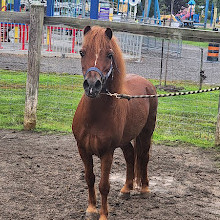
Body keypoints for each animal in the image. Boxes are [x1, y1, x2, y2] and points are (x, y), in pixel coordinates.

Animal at [72, 26, 158, 220]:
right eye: (82, 52)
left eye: (110, 54)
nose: (92, 85)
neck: (94, 117)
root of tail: (146, 83)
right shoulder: (83, 149)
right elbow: (90, 178)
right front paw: (91, 209)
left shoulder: (107, 152)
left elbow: (104, 185)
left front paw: (103, 215)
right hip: (125, 140)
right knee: (130, 156)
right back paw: (126, 189)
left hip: (146, 133)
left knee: (143, 156)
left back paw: (145, 189)